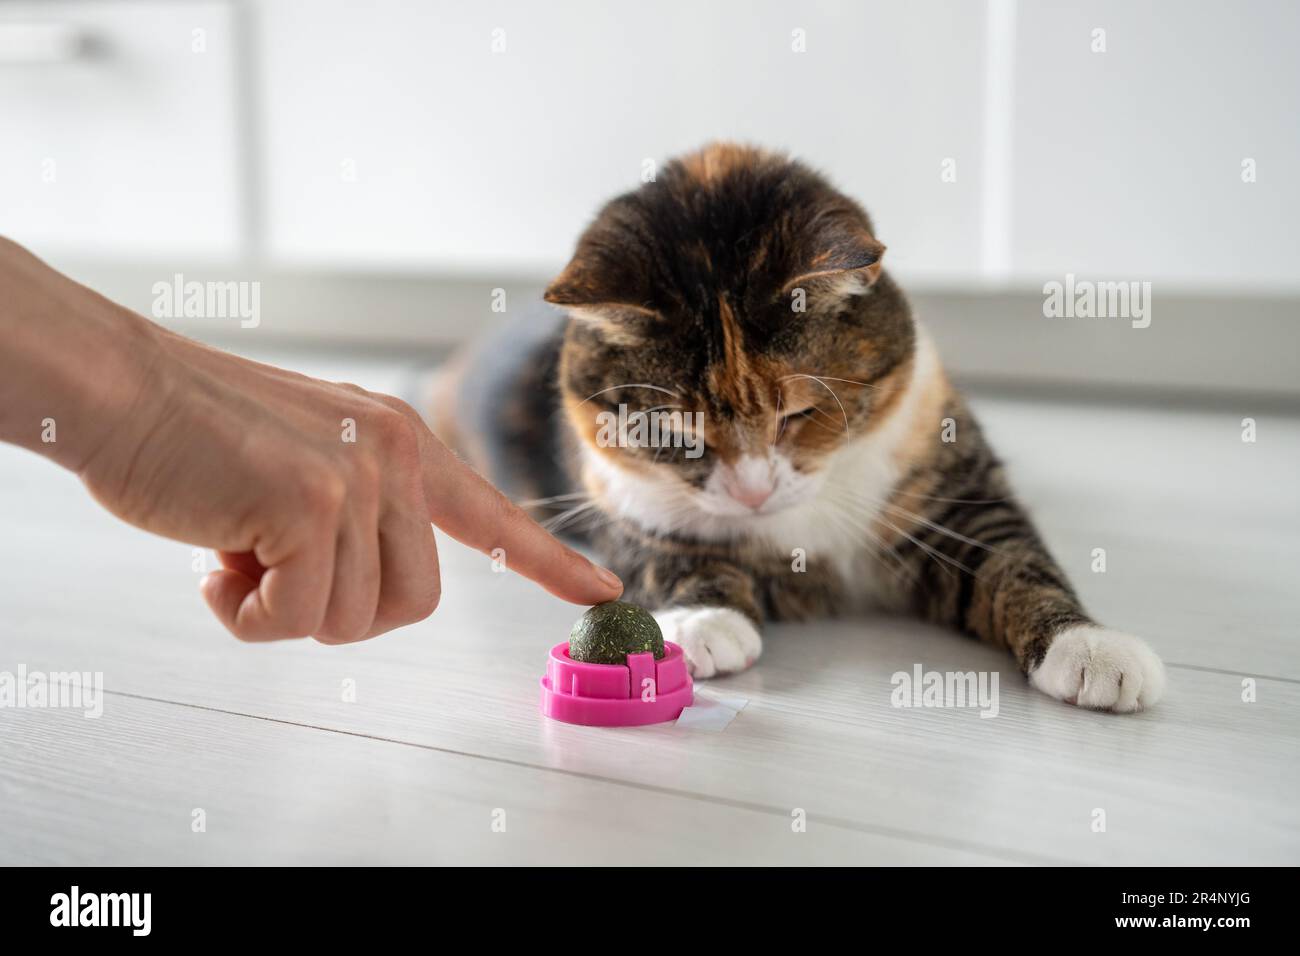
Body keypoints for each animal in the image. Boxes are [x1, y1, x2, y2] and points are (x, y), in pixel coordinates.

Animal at [428, 140, 1170, 712]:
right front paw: (705, 621)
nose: (753, 492)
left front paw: (1092, 651)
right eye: (676, 432)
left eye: (800, 413)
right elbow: (665, 550)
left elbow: (1015, 559)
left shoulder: (952, 485)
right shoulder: (615, 499)